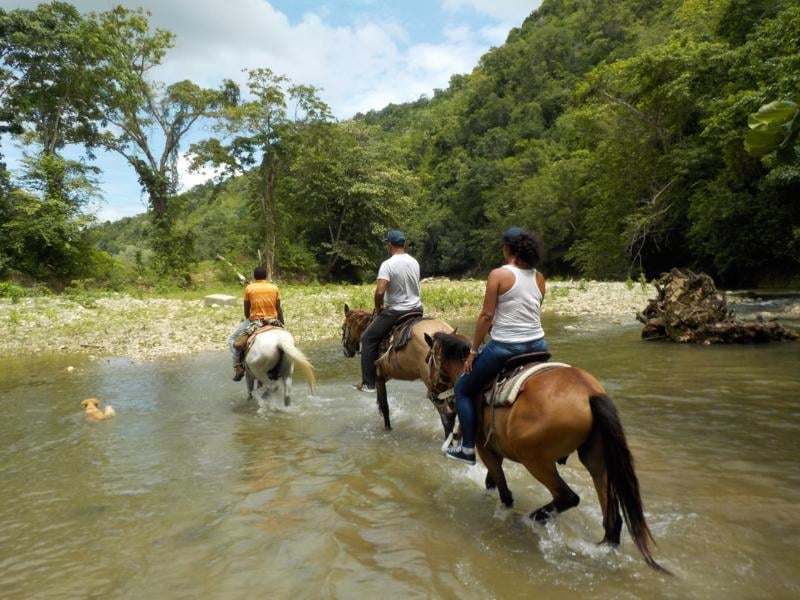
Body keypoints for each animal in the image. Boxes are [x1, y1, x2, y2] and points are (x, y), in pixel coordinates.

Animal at [425, 331, 668, 573]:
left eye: (428, 359)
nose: (432, 394)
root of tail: (589, 393)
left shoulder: (484, 449)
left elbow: (503, 492)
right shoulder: (495, 448)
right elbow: (491, 482)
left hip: (534, 459)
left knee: (567, 497)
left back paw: (531, 519)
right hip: (596, 460)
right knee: (612, 518)